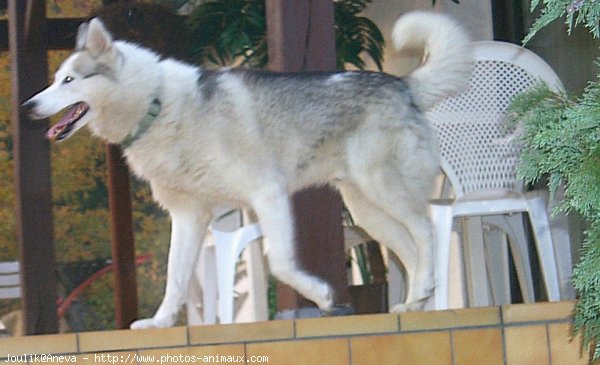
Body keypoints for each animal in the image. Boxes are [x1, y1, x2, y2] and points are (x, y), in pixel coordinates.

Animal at [23, 11, 472, 328]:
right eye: (54, 80)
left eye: (68, 80)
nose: (28, 106)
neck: (156, 104)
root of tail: (402, 84)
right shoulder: (188, 217)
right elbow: (174, 278)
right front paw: (160, 322)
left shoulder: (267, 194)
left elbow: (281, 263)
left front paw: (323, 297)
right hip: (366, 211)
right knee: (411, 249)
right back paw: (416, 300)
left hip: (381, 190)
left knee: (427, 228)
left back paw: (422, 291)